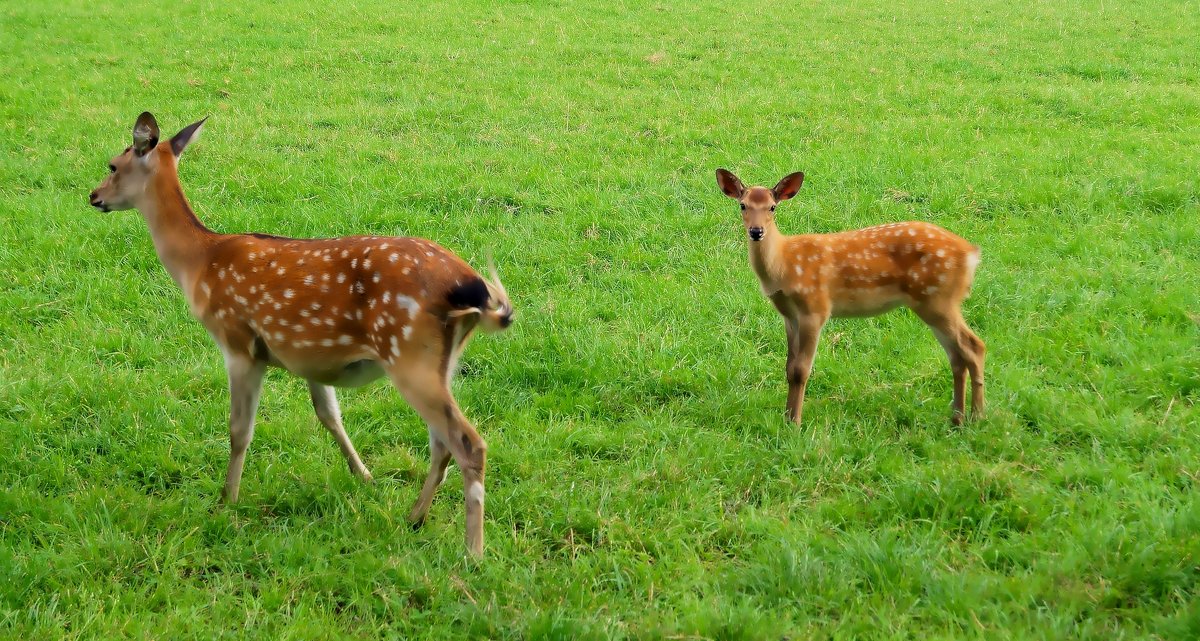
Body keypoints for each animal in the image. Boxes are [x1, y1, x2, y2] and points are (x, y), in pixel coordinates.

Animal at [87, 114, 511, 556]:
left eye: (113, 164)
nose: (93, 195)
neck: (200, 263)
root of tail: (471, 285)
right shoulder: (311, 358)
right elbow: (328, 414)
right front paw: (365, 476)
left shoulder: (237, 342)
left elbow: (240, 430)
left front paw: (226, 502)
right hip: (441, 360)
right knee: (442, 442)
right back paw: (415, 517)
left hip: (410, 353)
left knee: (467, 442)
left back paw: (473, 551)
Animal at [710, 169, 984, 427]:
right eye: (743, 205)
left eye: (772, 207)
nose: (756, 231)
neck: (783, 265)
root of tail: (971, 254)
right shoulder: (789, 316)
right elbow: (788, 368)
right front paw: (786, 418)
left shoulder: (815, 308)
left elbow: (800, 370)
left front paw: (795, 424)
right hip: (934, 303)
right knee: (956, 355)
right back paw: (958, 419)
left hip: (938, 299)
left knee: (974, 346)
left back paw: (977, 416)